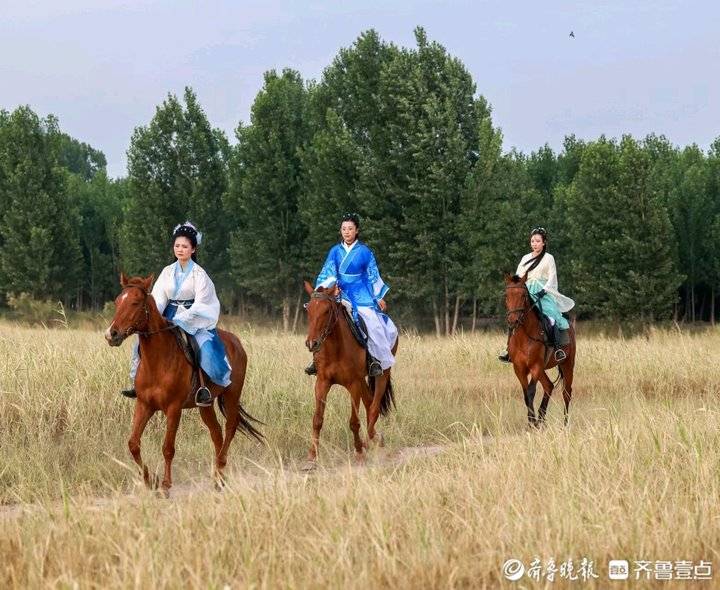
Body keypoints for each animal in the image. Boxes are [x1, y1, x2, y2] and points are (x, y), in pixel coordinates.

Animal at [101, 276, 258, 498]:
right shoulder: (144, 405)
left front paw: (165, 485)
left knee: (230, 428)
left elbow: (168, 447)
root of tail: (237, 343)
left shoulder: (173, 408)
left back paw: (221, 470)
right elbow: (133, 444)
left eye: (135, 302)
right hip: (205, 405)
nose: (111, 334)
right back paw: (217, 476)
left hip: (232, 396)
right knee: (216, 433)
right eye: (117, 302)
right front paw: (150, 480)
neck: (157, 361)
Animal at [300, 284, 396, 470]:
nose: (312, 343)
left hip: (382, 373)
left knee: (374, 407)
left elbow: (354, 421)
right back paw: (372, 439)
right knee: (369, 402)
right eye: (309, 309)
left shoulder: (353, 384)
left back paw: (370, 441)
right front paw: (311, 457)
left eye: (327, 310)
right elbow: (317, 419)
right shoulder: (322, 382)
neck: (336, 347)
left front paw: (359, 453)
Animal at [504, 276, 576, 428]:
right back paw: (542, 419)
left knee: (567, 392)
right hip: (543, 368)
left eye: (523, 295)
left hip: (567, 364)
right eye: (506, 295)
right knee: (548, 386)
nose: (513, 321)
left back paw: (565, 424)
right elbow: (526, 394)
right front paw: (533, 422)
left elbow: (531, 392)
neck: (524, 337)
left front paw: (532, 423)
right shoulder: (519, 369)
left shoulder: (536, 366)